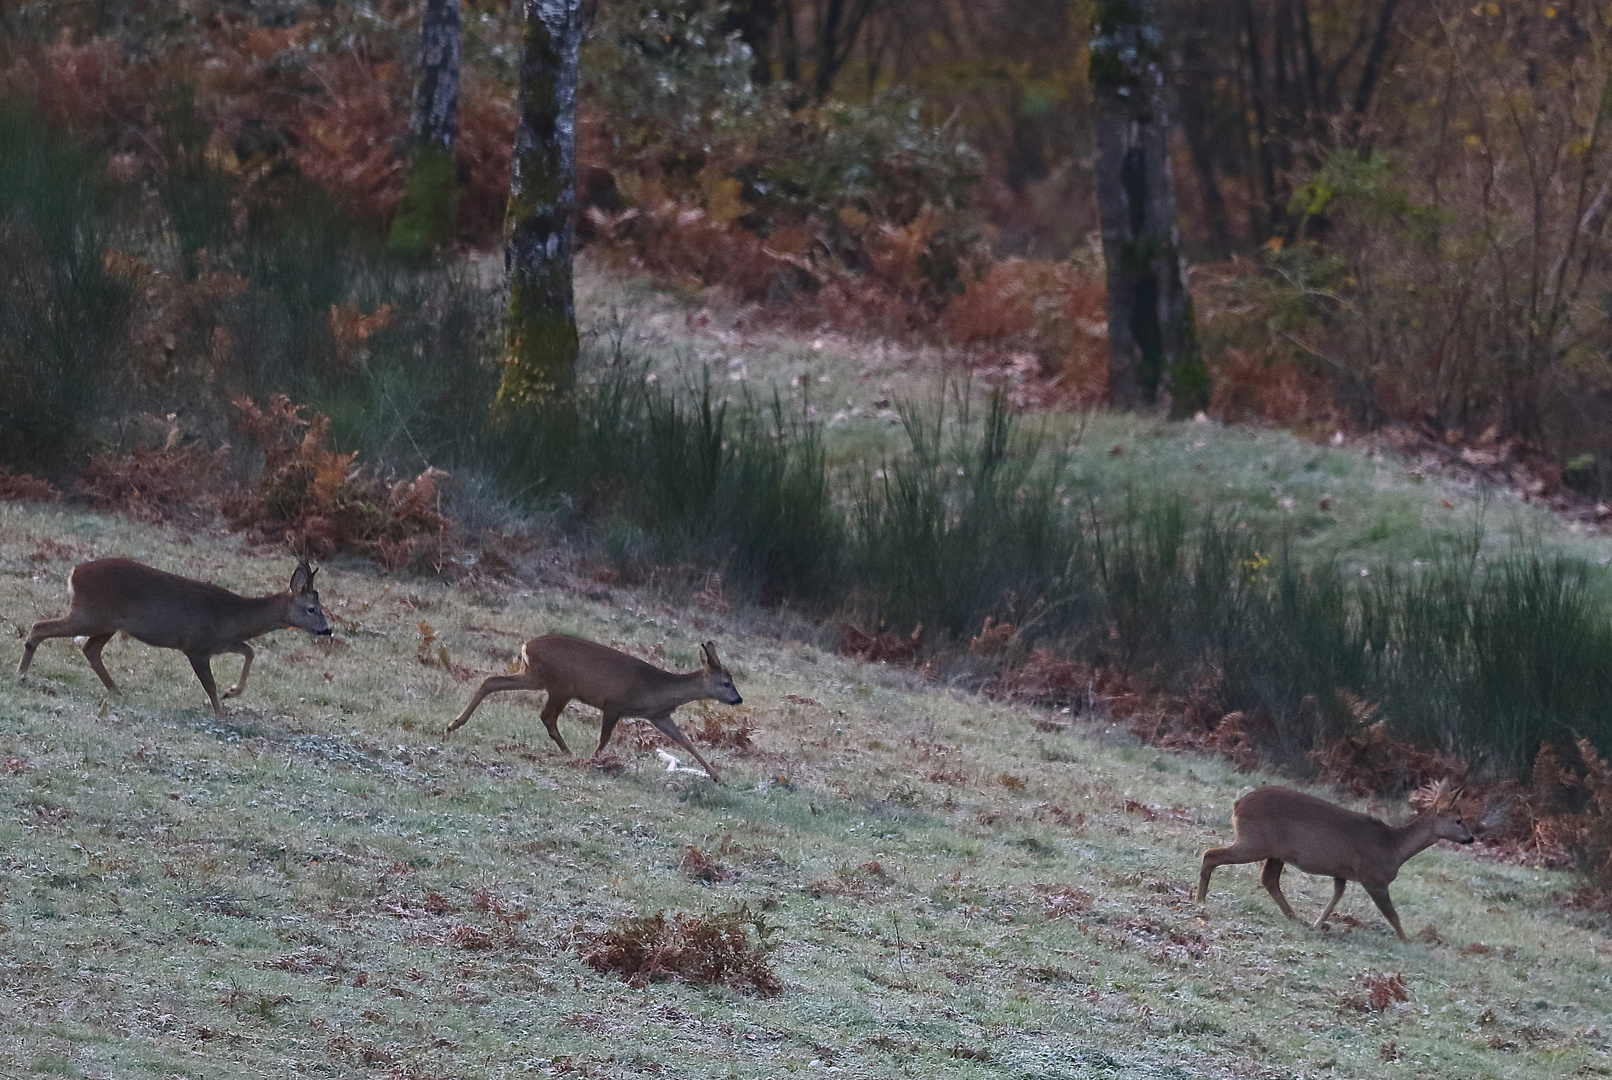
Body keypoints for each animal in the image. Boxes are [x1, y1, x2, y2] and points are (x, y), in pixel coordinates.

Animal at [18, 557, 330, 718]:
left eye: (321, 607)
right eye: (311, 609)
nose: (327, 630)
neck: (234, 616)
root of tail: (74, 573)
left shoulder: (220, 643)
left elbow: (250, 651)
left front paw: (232, 692)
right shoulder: (197, 646)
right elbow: (210, 683)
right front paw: (220, 711)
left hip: (105, 622)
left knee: (90, 650)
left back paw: (117, 689)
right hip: (90, 613)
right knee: (40, 626)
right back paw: (21, 674)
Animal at [444, 635, 738, 786]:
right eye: (726, 682)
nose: (738, 699)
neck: (656, 689)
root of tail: (526, 646)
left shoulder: (659, 716)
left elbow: (686, 742)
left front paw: (718, 777)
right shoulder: (614, 704)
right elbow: (604, 739)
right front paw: (594, 762)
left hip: (537, 677)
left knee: (492, 680)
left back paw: (453, 723)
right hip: (560, 684)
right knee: (546, 716)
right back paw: (570, 753)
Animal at [1199, 783, 1476, 941]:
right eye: (1458, 820)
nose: (1471, 838)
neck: (1394, 847)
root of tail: (1238, 805)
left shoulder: (1341, 872)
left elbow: (1336, 896)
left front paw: (1317, 924)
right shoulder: (1373, 877)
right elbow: (1393, 915)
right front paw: (1407, 942)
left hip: (1275, 851)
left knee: (1269, 879)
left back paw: (1296, 918)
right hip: (1256, 842)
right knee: (1211, 854)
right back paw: (1200, 900)